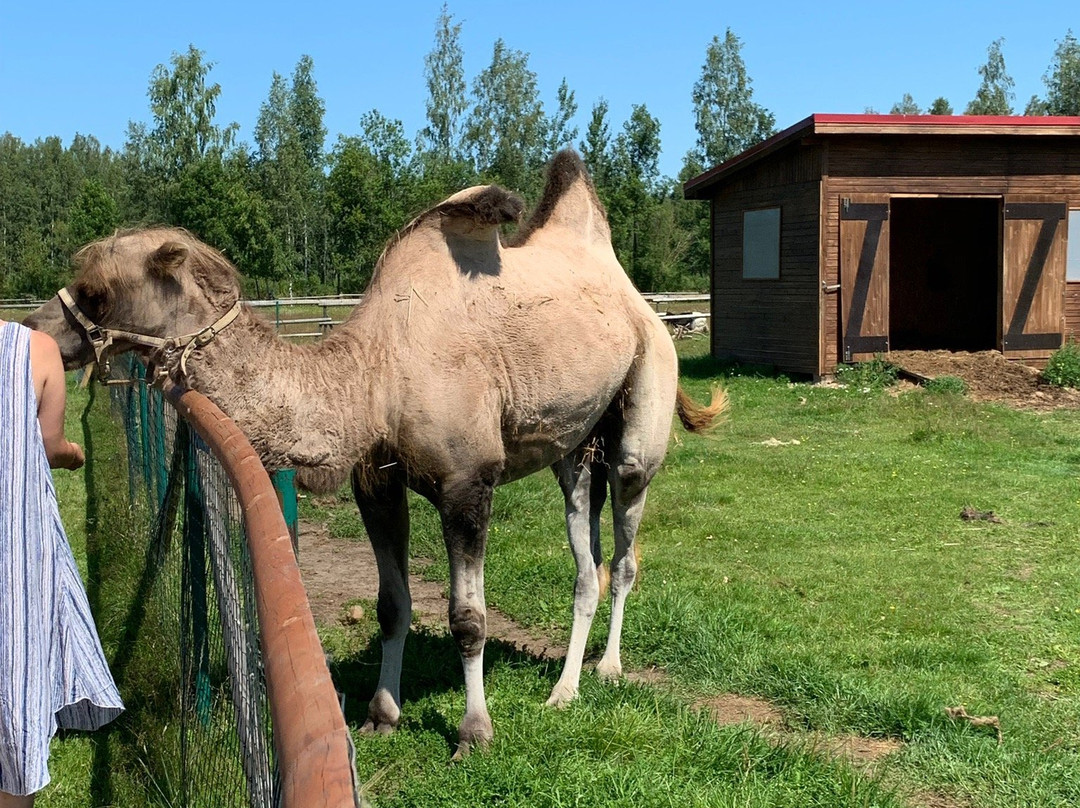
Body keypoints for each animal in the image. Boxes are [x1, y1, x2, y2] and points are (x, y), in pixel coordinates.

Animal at [25, 150, 730, 756]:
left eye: (95, 292)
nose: (34, 328)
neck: (373, 377)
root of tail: (640, 303)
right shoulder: (377, 480)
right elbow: (392, 606)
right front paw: (381, 714)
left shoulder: (468, 482)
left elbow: (468, 617)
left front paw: (474, 733)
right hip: (574, 447)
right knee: (587, 557)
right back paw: (563, 687)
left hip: (643, 412)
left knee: (627, 547)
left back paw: (605, 670)